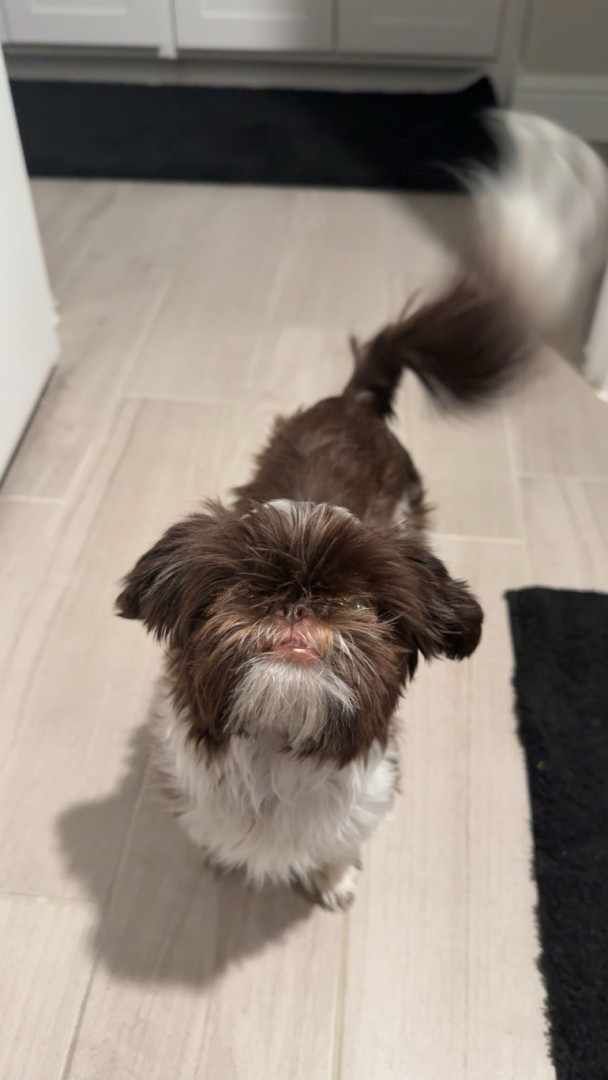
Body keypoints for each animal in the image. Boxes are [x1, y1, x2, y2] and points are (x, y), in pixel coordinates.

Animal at [116, 113, 608, 911]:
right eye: (236, 590)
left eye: (361, 604)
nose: (296, 603)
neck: (278, 751)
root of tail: (355, 400)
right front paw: (223, 861)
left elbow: (338, 842)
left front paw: (333, 876)